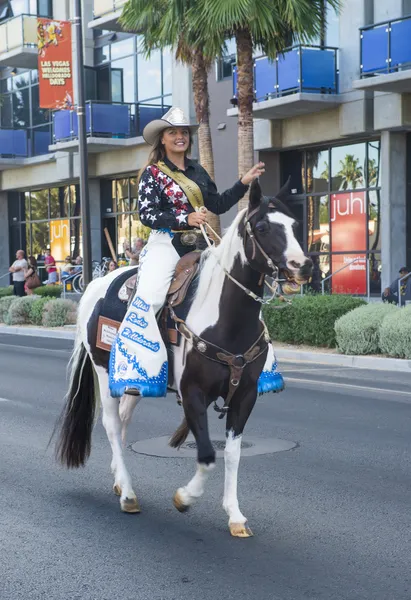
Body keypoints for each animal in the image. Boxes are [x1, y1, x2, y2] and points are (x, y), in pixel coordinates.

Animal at [54, 179, 312, 540]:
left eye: (295, 224)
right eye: (262, 227)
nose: (303, 266)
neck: (224, 319)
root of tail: (95, 284)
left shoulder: (244, 397)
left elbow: (232, 454)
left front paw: (235, 515)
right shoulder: (193, 394)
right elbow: (206, 454)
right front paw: (185, 497)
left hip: (134, 382)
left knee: (123, 420)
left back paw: (120, 481)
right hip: (105, 372)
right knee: (111, 423)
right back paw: (128, 494)